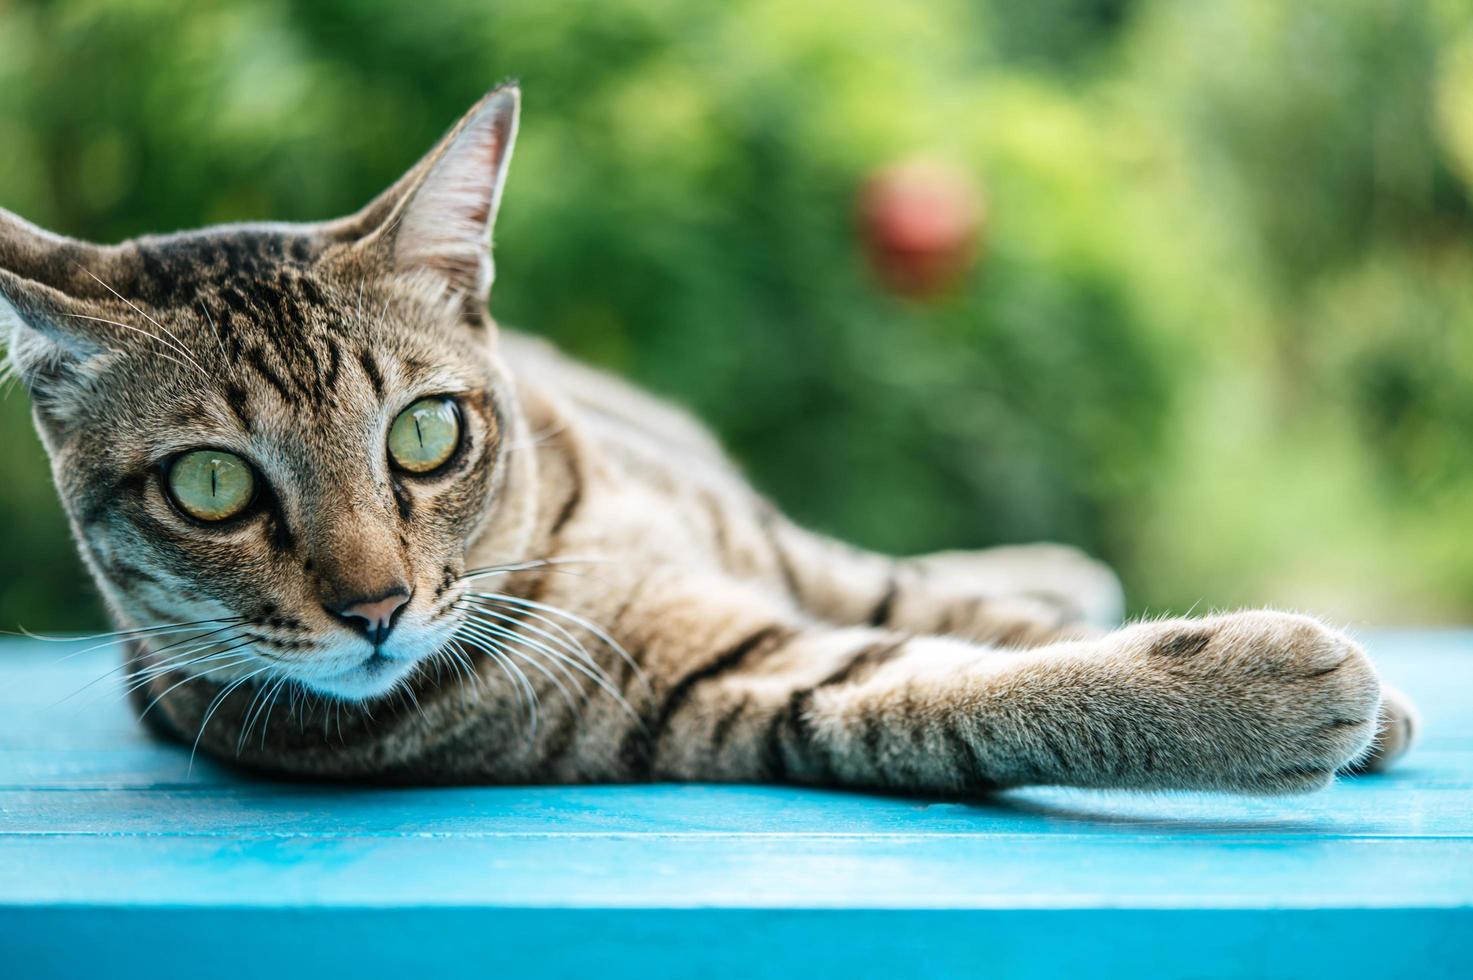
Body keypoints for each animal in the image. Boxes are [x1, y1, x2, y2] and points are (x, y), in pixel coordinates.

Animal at [5, 82, 1419, 789]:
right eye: (208, 485)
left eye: (422, 434)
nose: (376, 608)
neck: (554, 543)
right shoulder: (727, 683)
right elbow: (958, 687)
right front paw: (1265, 690)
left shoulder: (766, 562)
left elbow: (968, 620)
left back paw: (1052, 566)